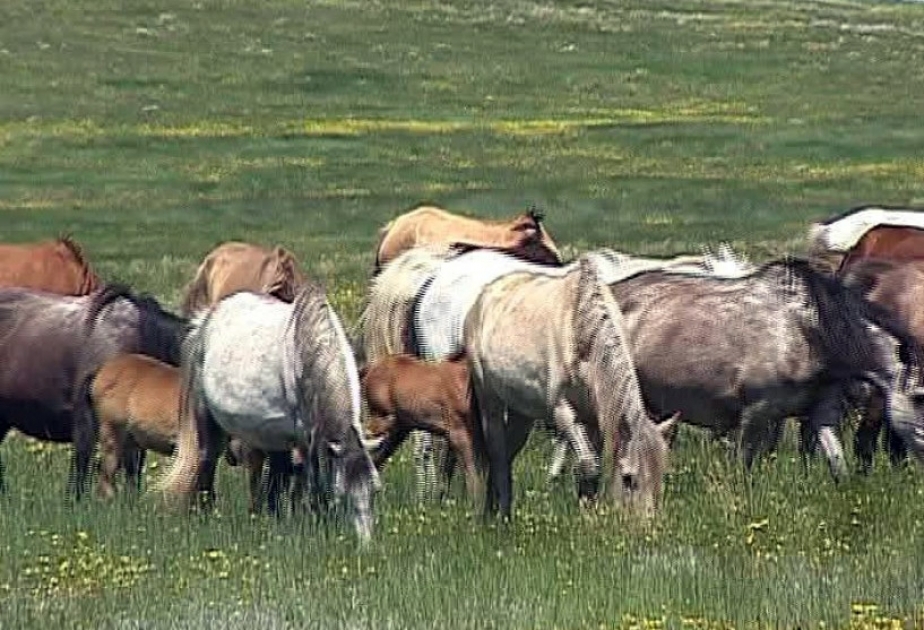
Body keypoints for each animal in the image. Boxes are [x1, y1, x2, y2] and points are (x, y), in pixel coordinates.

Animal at [158, 284, 380, 542]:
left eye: (375, 490)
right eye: (342, 493)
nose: (365, 544)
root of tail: (206, 320)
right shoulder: (307, 439)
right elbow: (313, 479)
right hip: (208, 421)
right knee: (207, 461)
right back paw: (205, 513)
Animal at [361, 352, 480, 500]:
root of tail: (370, 367)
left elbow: (448, 471)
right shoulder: (458, 432)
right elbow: (470, 471)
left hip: (399, 429)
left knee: (376, 457)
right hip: (381, 419)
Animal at [465, 256, 677, 519]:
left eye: (660, 477)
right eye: (629, 478)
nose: (645, 525)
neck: (582, 332)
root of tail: (484, 297)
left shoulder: (595, 416)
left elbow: (590, 467)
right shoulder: (564, 412)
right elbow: (588, 467)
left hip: (521, 412)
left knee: (507, 453)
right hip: (489, 399)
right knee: (497, 451)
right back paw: (499, 516)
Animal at [604, 258, 924, 480]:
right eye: (919, 397)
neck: (808, 331)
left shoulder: (821, 414)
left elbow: (838, 467)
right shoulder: (757, 414)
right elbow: (744, 469)